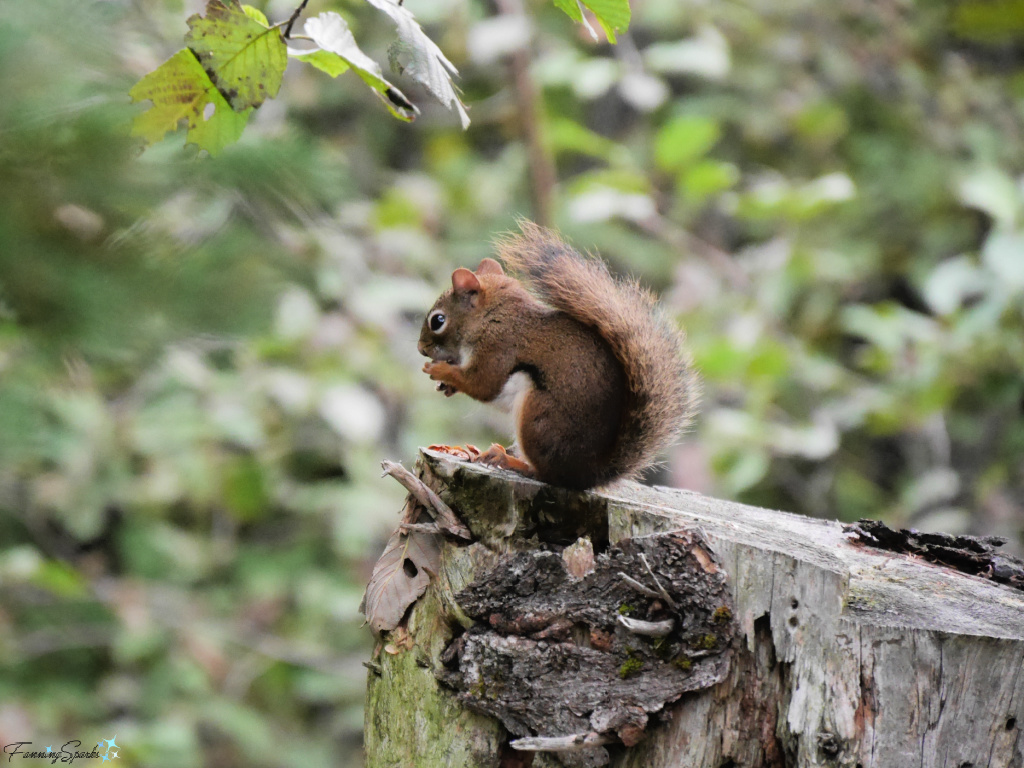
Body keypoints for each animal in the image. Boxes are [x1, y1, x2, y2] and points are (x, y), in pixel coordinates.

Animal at [418, 222, 699, 491]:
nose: (421, 348)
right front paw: (446, 385)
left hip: (538, 417)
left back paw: (507, 460)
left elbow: (483, 385)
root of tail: (588, 474)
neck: (493, 316)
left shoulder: (498, 348)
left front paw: (439, 370)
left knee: (546, 474)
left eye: (438, 320)